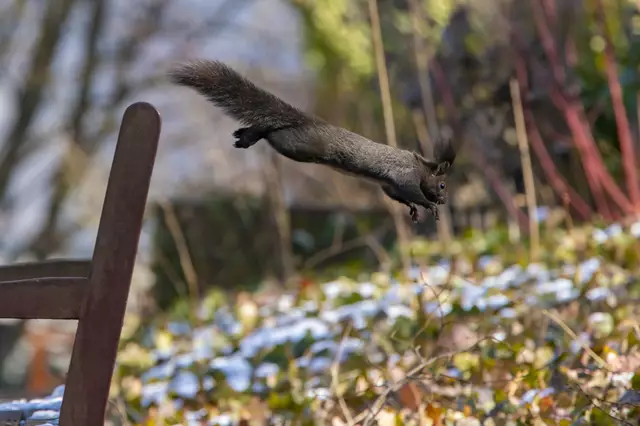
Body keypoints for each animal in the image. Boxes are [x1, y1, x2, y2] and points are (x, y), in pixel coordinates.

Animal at [168, 60, 456, 222]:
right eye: (442, 185)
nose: (443, 201)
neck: (422, 167)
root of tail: (310, 122)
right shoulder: (405, 176)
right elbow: (411, 191)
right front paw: (428, 205)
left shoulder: (389, 186)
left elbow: (399, 196)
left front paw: (414, 210)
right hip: (298, 145)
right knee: (273, 131)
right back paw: (252, 135)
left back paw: (246, 135)